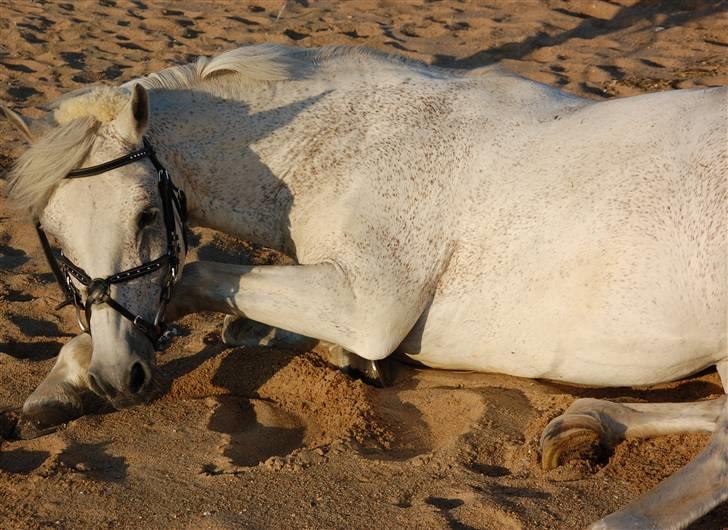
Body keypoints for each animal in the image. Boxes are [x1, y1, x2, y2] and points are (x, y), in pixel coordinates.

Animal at [2, 46, 724, 528]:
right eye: (53, 236)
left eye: (146, 215)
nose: (120, 378)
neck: (345, 147)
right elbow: (224, 315)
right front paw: (65, 383)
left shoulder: (367, 304)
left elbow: (199, 276)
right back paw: (586, 424)